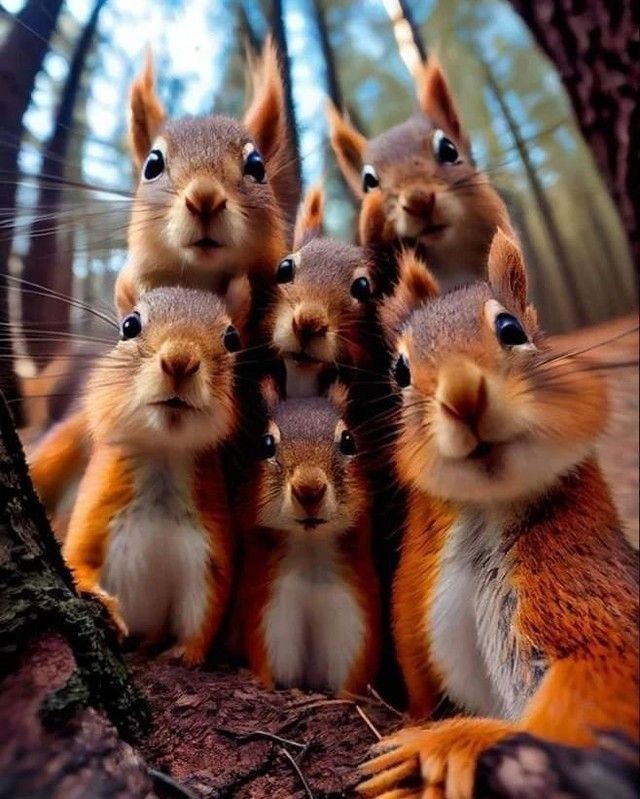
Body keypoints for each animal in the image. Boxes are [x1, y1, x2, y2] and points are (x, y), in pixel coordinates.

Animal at [62, 287, 240, 665]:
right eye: (129, 325)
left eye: (232, 338)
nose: (180, 360)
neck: (162, 454)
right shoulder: (95, 513)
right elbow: (78, 561)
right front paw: (103, 604)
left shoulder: (208, 549)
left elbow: (207, 611)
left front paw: (186, 654)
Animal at [234, 380, 380, 693]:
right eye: (265, 444)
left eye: (348, 441)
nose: (309, 489)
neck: (310, 549)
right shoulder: (269, 619)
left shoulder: (355, 628)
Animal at [358, 232, 639, 798]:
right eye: (400, 371)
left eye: (511, 329)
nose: (463, 395)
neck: (486, 508)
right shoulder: (415, 629)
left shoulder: (594, 599)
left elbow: (601, 685)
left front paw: (448, 745)